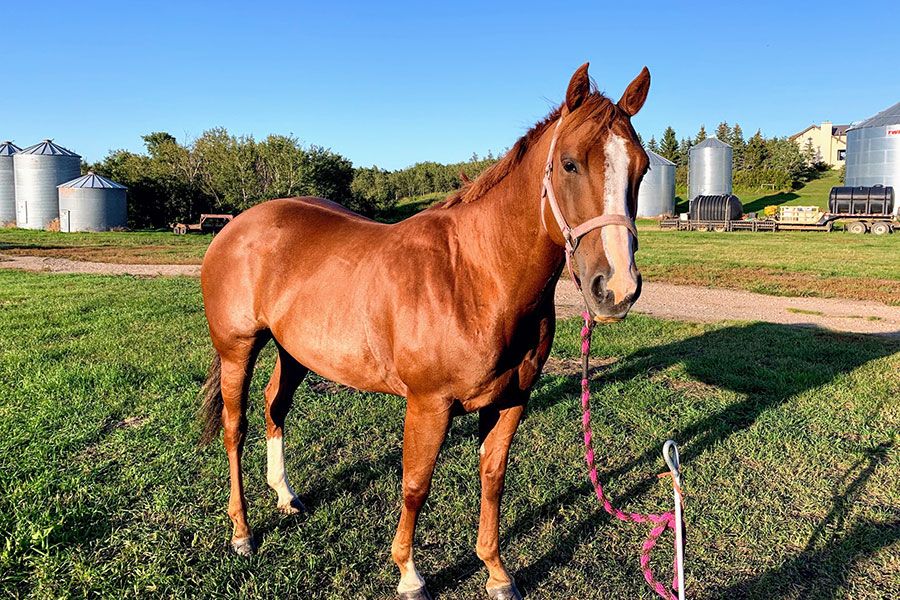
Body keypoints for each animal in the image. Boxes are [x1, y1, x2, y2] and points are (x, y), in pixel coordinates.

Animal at [199, 62, 650, 599]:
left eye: (642, 168)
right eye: (568, 164)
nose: (616, 289)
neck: (474, 276)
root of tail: (234, 225)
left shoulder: (511, 401)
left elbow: (493, 478)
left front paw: (496, 572)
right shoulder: (428, 405)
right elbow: (415, 486)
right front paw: (409, 574)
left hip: (295, 352)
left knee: (275, 407)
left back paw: (286, 496)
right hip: (238, 350)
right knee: (235, 428)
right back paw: (242, 532)